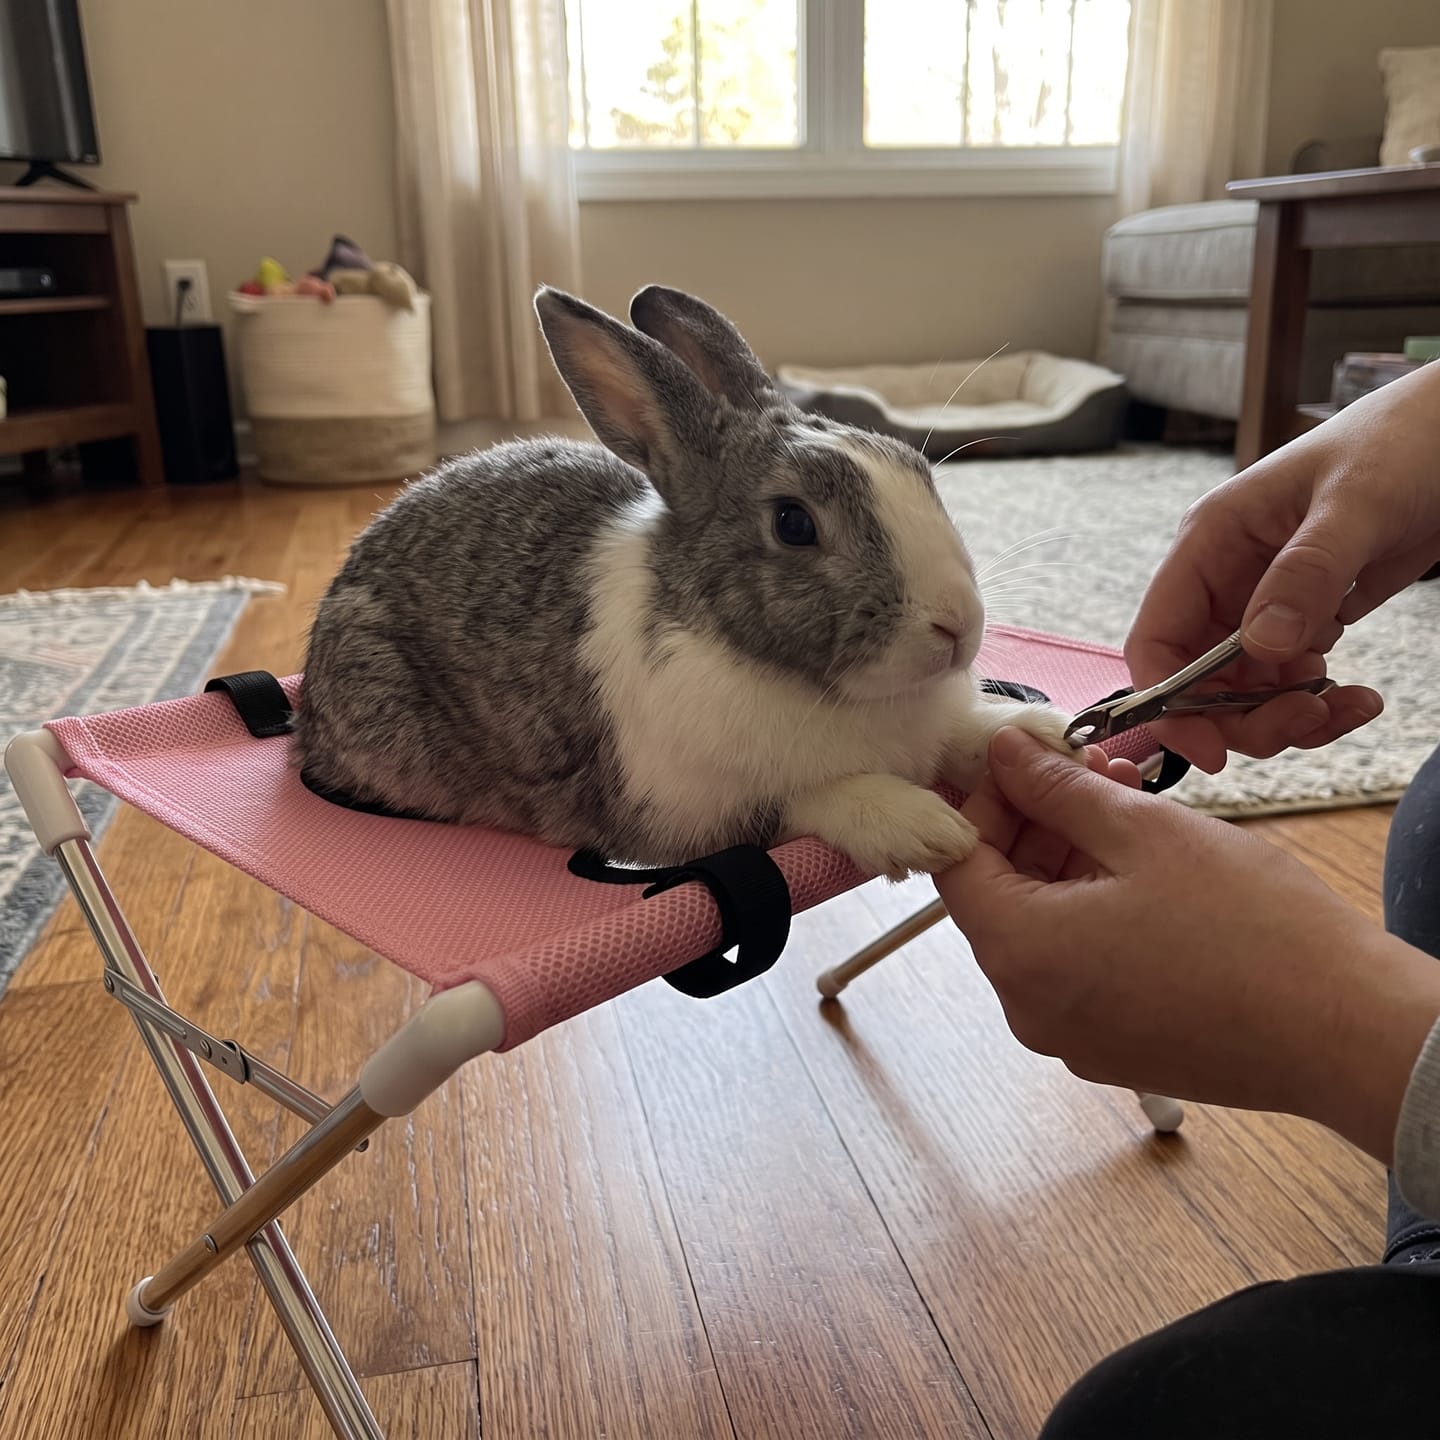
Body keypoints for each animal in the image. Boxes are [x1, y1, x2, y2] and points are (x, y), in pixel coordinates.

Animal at [292, 284, 1081, 881]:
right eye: (794, 523)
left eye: (918, 471)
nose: (959, 625)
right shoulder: (687, 816)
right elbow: (807, 800)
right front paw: (922, 828)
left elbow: (968, 736)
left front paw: (1041, 734)